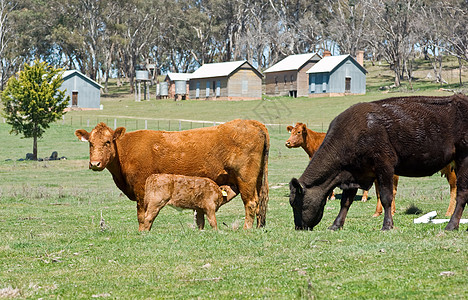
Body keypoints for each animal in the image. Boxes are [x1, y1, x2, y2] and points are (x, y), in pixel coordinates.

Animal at [75, 118, 268, 231]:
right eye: (90, 143)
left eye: (108, 142)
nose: (95, 164)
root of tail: (253, 123)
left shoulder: (141, 188)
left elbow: (142, 215)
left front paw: (142, 231)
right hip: (258, 179)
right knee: (261, 202)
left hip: (246, 178)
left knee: (251, 202)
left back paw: (246, 229)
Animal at [288, 95, 468, 231]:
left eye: (295, 203)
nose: (299, 227)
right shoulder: (353, 173)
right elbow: (345, 202)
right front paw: (335, 225)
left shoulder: (384, 166)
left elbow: (386, 197)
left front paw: (387, 225)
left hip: (462, 161)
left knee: (461, 193)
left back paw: (451, 225)